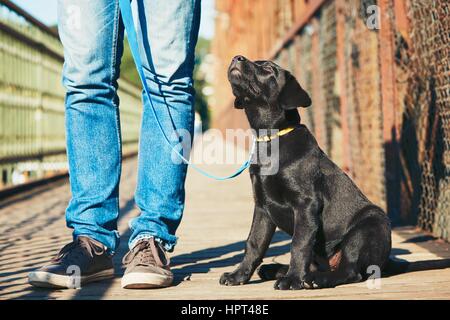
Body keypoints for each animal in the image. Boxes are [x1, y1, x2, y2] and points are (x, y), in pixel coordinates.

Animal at [220, 55, 392, 290]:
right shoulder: (262, 207)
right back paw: (275, 269)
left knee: (350, 270)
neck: (271, 139)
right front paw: (238, 275)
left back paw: (315, 279)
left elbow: (299, 244)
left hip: (368, 227)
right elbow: (254, 244)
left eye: (268, 69)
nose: (237, 57)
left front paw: (293, 280)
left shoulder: (305, 204)